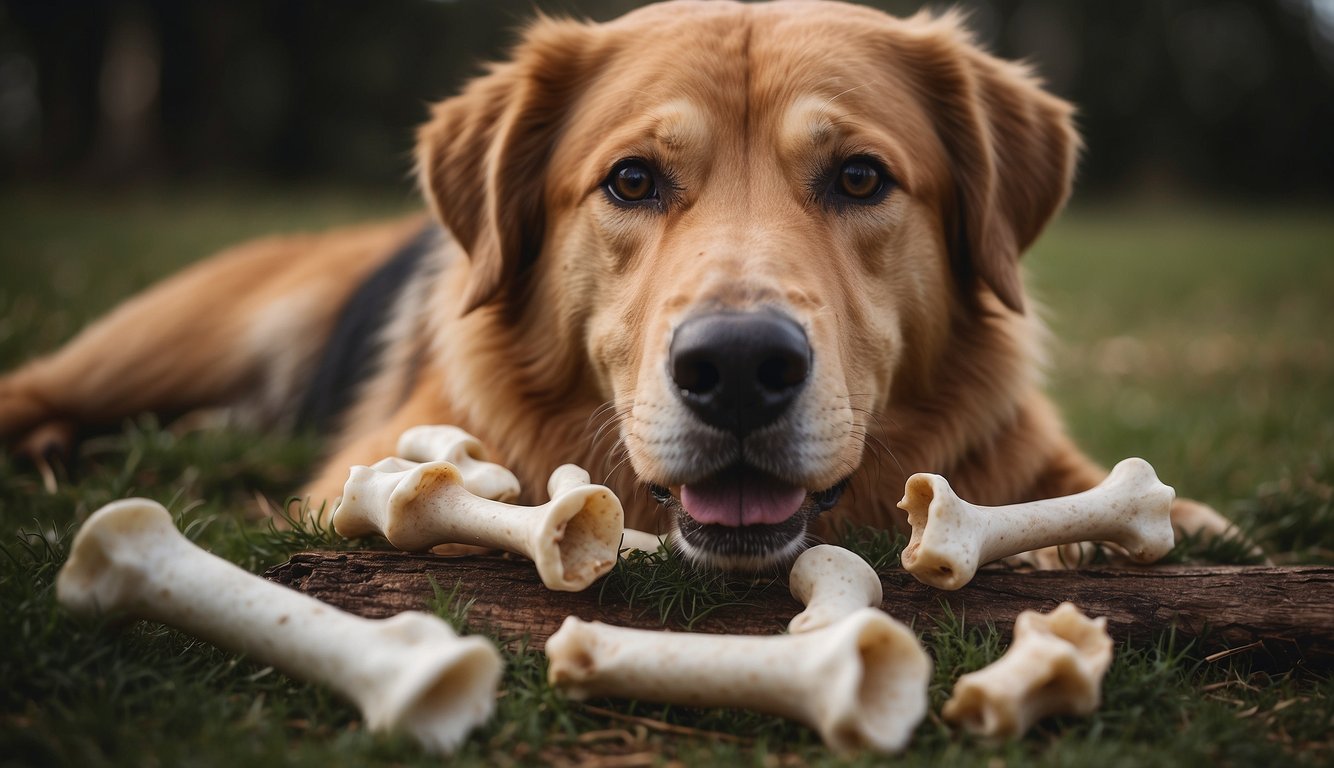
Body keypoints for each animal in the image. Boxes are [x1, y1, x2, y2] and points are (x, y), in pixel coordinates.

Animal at [0, 0, 1227, 570]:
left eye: (860, 177)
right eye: (631, 180)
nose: (739, 370)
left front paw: (1092, 529)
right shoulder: (366, 469)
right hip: (166, 340)